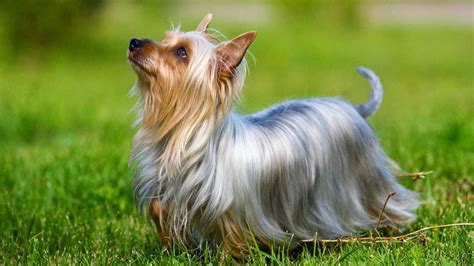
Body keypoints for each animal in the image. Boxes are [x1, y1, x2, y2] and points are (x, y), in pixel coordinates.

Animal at [127, 14, 418, 254]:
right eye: (165, 39)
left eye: (181, 52)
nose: (134, 41)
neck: (185, 136)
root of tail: (354, 109)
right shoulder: (169, 189)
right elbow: (158, 209)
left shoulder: (234, 211)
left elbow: (233, 237)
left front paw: (226, 258)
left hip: (365, 182)